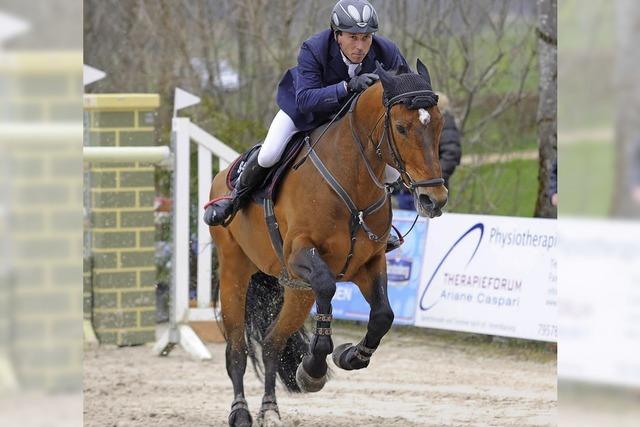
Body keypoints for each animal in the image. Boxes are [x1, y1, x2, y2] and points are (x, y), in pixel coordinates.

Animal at [208, 60, 448, 427]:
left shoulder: (369, 263)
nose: (433, 200)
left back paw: (270, 409)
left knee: (272, 342)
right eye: (401, 127)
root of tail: (224, 174)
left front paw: (350, 356)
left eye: (438, 125)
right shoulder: (301, 255)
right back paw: (241, 411)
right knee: (237, 347)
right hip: (235, 270)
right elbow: (328, 287)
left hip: (296, 290)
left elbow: (383, 315)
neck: (353, 180)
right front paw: (314, 369)